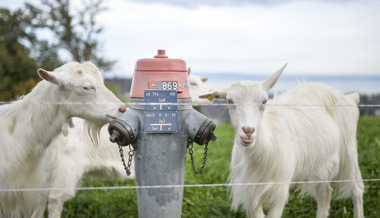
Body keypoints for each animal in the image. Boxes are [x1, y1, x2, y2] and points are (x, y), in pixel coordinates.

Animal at [200, 63, 364, 217]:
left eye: (264, 101)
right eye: (230, 100)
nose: (248, 131)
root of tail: (348, 97)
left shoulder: (279, 190)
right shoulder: (251, 192)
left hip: (348, 150)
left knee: (357, 188)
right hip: (319, 162)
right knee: (325, 193)